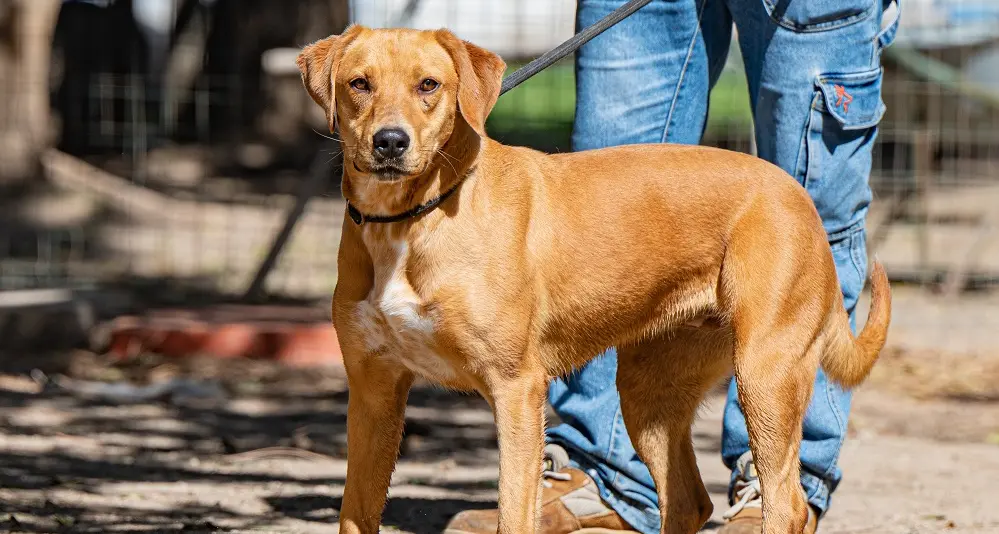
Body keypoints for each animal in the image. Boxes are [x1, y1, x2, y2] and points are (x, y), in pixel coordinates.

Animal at [294, 24, 892, 534]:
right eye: (359, 83)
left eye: (428, 85)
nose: (390, 142)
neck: (413, 220)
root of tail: (798, 195)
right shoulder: (373, 392)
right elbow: (355, 512)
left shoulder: (516, 389)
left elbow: (514, 512)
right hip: (650, 394)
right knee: (688, 500)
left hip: (766, 375)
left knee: (788, 503)